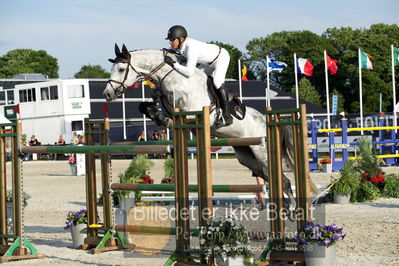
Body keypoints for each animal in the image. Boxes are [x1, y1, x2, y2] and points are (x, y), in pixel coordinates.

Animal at [103, 43, 316, 210]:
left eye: (121, 69)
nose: (107, 94)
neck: (173, 76)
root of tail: (267, 120)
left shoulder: (191, 112)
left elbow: (169, 109)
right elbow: (152, 106)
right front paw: (154, 111)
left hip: (261, 151)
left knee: (284, 181)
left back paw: (293, 210)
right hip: (246, 155)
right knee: (269, 176)